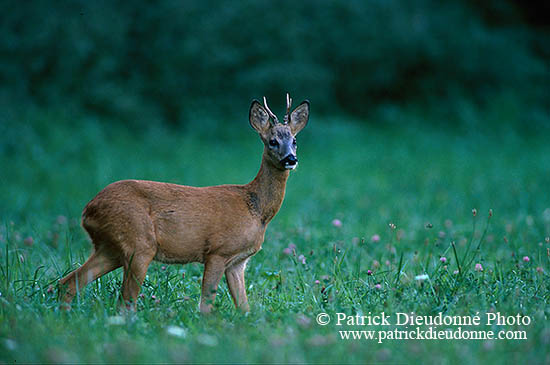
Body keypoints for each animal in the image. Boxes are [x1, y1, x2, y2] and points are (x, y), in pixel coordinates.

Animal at [61, 94, 312, 312]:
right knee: (125, 302)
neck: (256, 210)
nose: (291, 159)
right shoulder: (217, 251)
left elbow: (244, 308)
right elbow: (206, 306)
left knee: (68, 283)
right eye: (272, 141)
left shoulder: (238, 262)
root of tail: (88, 209)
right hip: (138, 243)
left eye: (295, 140)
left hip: (110, 248)